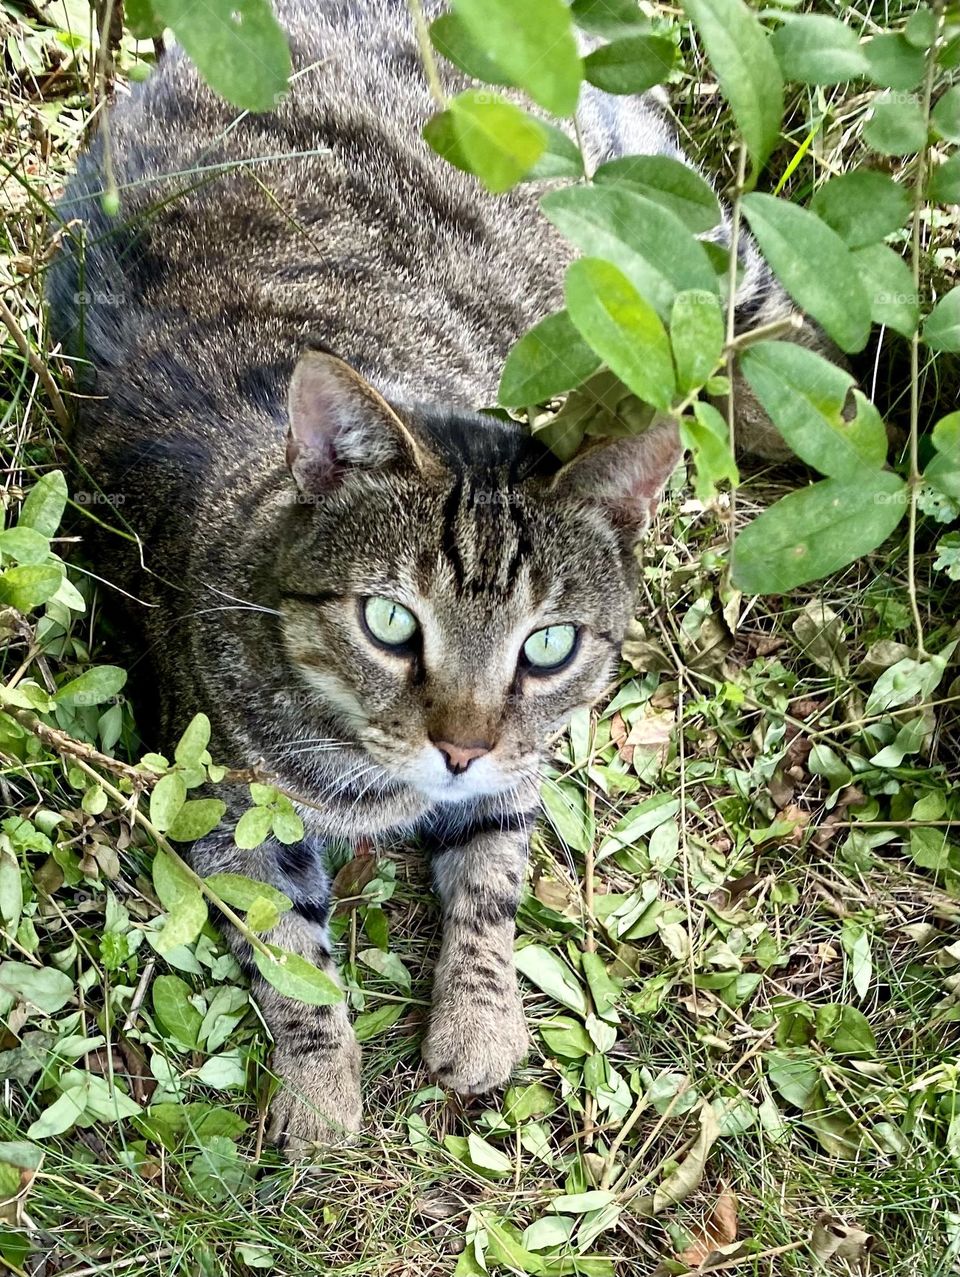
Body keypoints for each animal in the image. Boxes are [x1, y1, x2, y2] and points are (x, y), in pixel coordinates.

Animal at [46, 2, 811, 1159]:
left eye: (549, 644)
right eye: (390, 621)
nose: (459, 745)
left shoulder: (518, 764)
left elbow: (492, 883)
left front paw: (480, 1017)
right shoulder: (221, 800)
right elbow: (293, 956)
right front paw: (322, 1086)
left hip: (692, 247)